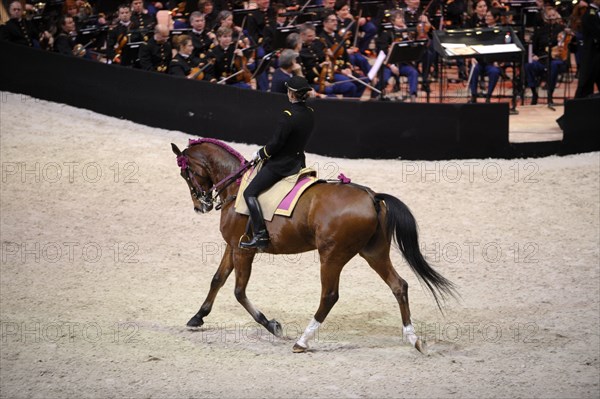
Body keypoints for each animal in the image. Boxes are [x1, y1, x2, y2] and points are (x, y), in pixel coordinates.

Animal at [171, 138, 458, 354]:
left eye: (186, 173)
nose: (200, 206)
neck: (237, 189)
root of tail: (372, 196)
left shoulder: (244, 249)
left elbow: (239, 292)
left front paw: (272, 325)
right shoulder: (233, 246)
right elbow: (217, 279)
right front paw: (198, 317)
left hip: (332, 255)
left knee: (329, 295)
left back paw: (303, 341)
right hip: (373, 253)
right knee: (399, 286)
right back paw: (414, 339)